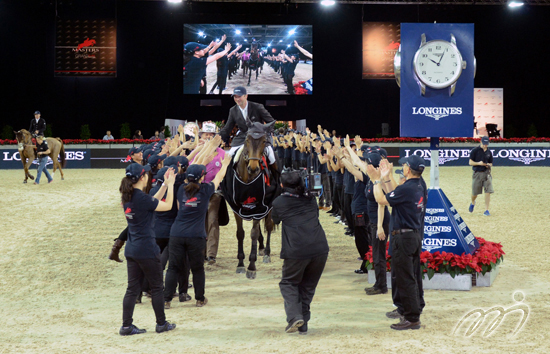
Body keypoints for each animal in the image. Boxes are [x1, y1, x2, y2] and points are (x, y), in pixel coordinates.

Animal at [221, 121, 280, 280]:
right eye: (247, 140)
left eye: (264, 141)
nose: (253, 168)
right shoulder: (237, 207)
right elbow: (240, 233)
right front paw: (240, 264)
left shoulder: (260, 207)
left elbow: (253, 233)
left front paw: (251, 267)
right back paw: (261, 248)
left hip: (269, 206)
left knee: (268, 226)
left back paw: (266, 253)